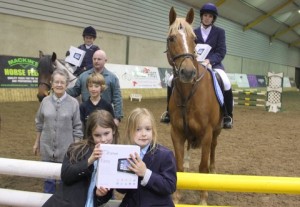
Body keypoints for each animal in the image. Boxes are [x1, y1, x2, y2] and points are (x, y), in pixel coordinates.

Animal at [168, 7, 221, 205]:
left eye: (195, 40)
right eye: (171, 38)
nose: (188, 73)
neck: (188, 93)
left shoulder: (206, 133)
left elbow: (203, 167)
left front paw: (203, 199)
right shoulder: (176, 132)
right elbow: (179, 166)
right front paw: (176, 197)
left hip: (216, 131)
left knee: (213, 148)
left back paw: (214, 171)